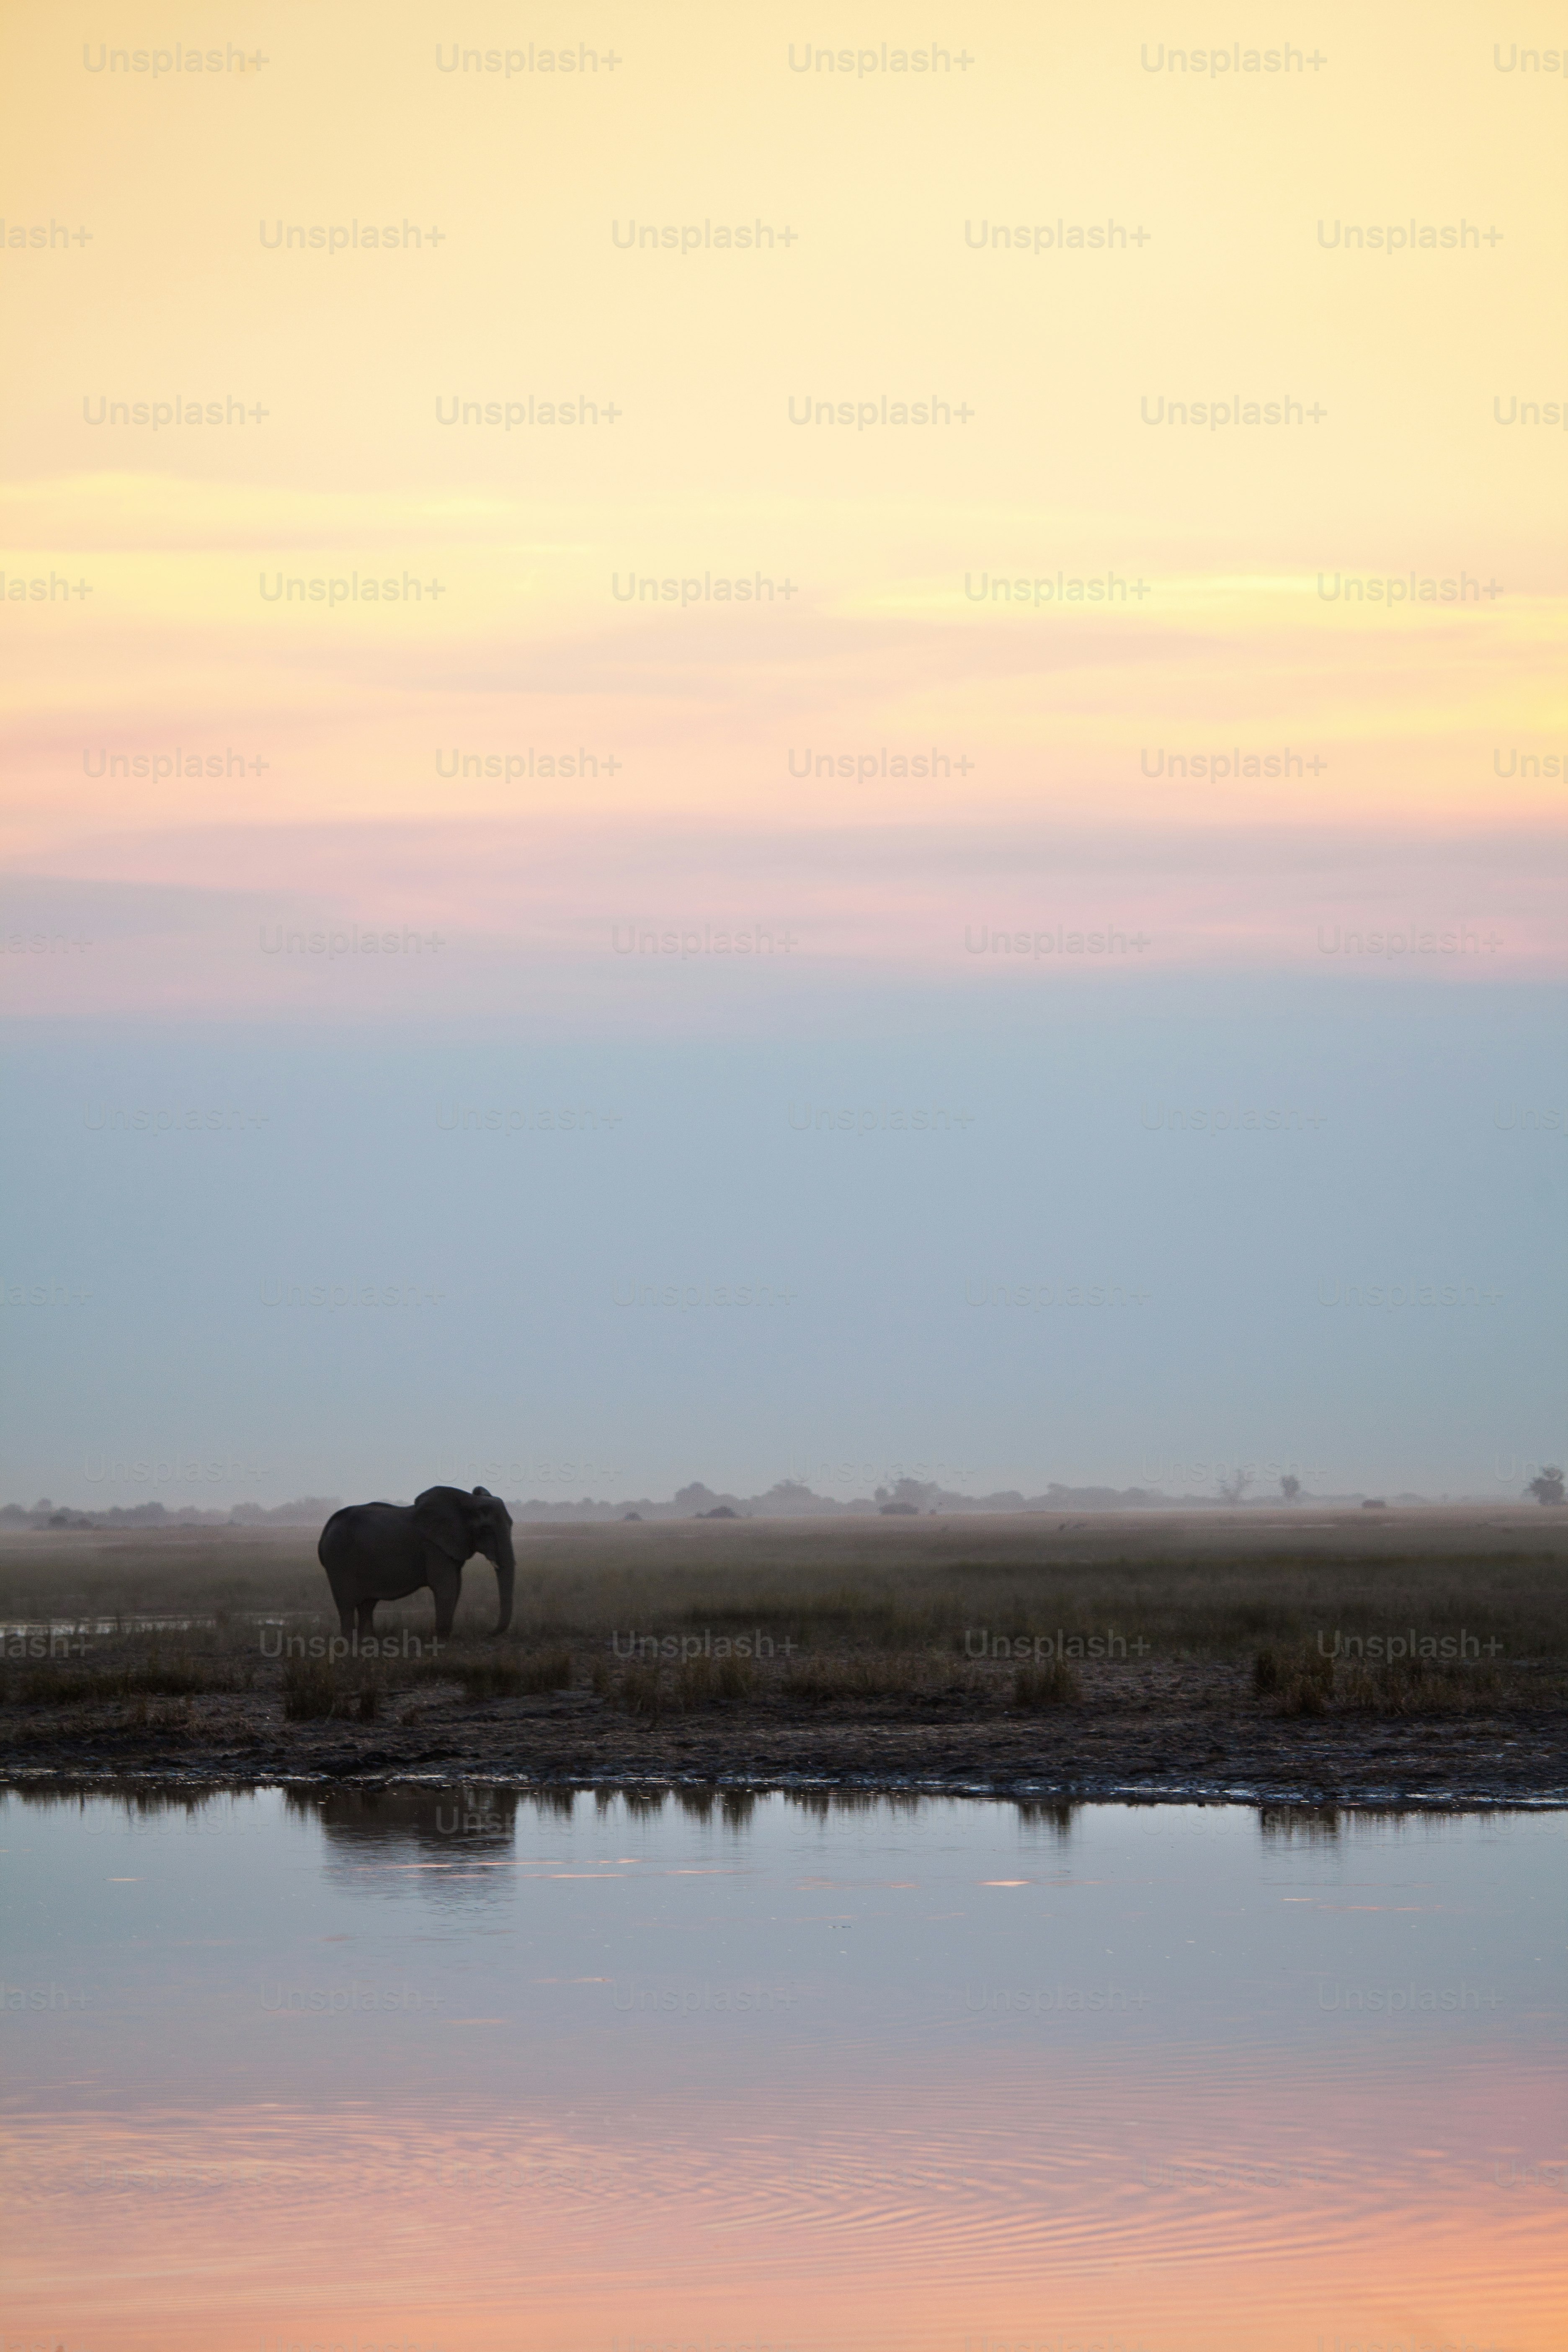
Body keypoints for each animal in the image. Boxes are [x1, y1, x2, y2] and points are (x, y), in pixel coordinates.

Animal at [317, 1486, 515, 1637]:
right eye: (486, 1530)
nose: (488, 1632)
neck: (467, 1500)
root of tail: (326, 1529)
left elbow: (457, 1586)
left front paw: (445, 1634)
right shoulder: (433, 1546)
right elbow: (446, 1587)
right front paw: (442, 1636)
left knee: (367, 1605)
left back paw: (368, 1640)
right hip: (339, 1559)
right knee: (346, 1604)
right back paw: (350, 1643)